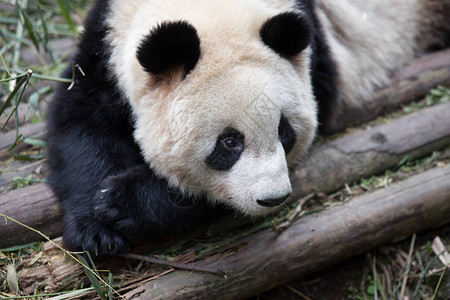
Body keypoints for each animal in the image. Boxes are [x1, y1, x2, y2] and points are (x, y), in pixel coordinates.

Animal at [46, 0, 450, 256]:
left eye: (284, 132)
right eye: (229, 143)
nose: (273, 198)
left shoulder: (315, 61)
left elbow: (205, 198)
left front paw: (122, 202)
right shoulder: (106, 40)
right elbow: (79, 123)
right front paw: (95, 230)